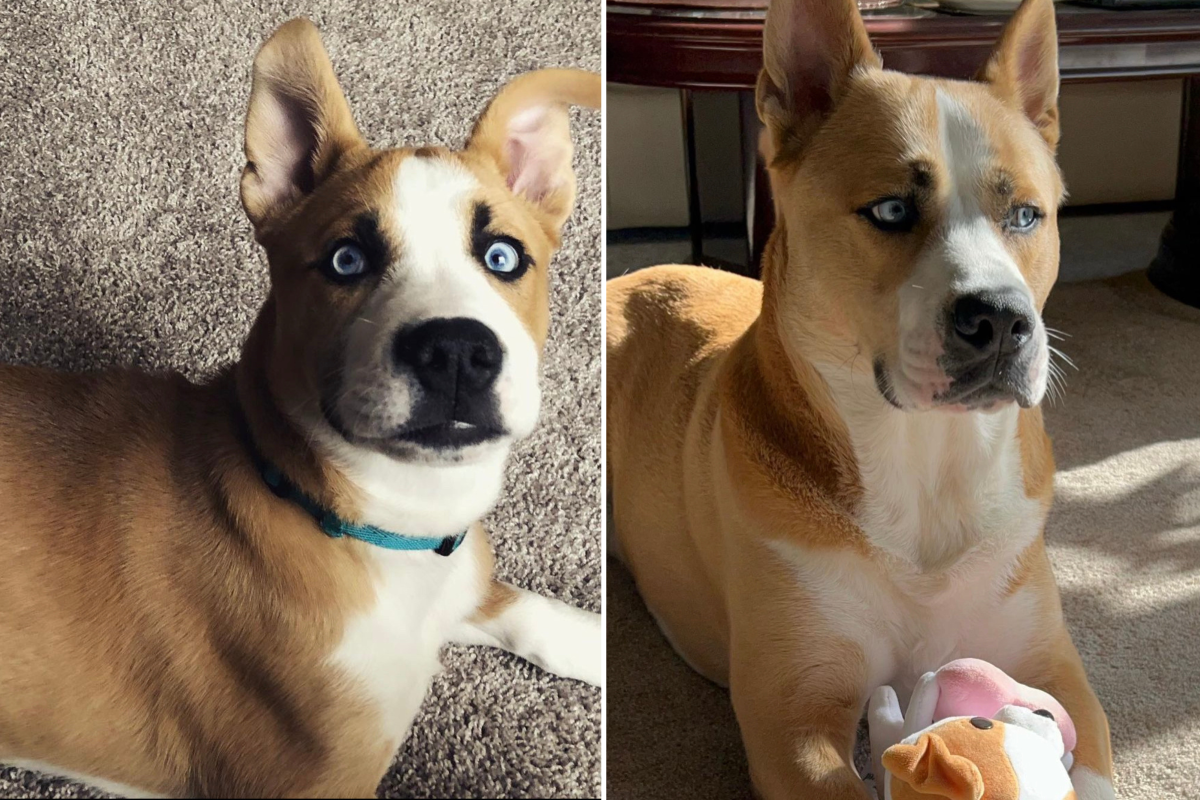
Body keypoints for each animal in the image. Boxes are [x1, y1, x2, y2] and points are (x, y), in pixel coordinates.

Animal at [609, 1, 1113, 800]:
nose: (1001, 321)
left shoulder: (1053, 669)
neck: (929, 462)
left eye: (1026, 216)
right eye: (892, 209)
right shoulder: (796, 716)